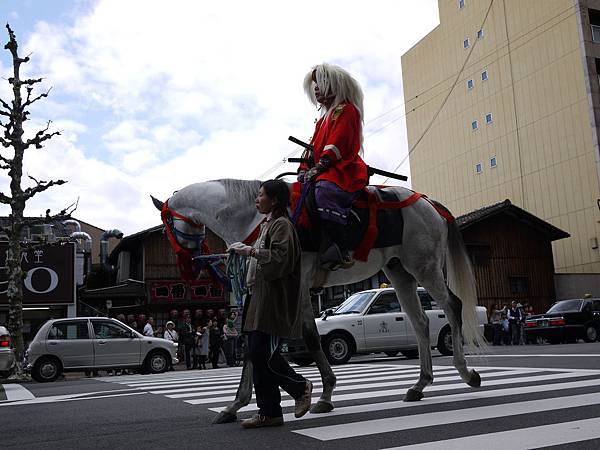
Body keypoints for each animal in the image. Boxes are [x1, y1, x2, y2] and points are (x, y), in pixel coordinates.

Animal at [152, 178, 486, 424]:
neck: (254, 218)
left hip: (424, 266)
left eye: (166, 230)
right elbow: (254, 344)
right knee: (419, 322)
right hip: (400, 271)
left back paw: (466, 372)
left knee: (452, 307)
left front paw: (324, 394)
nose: (188, 270)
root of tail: (429, 202)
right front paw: (236, 405)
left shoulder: (297, 284)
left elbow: (311, 338)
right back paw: (420, 384)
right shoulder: (257, 291)